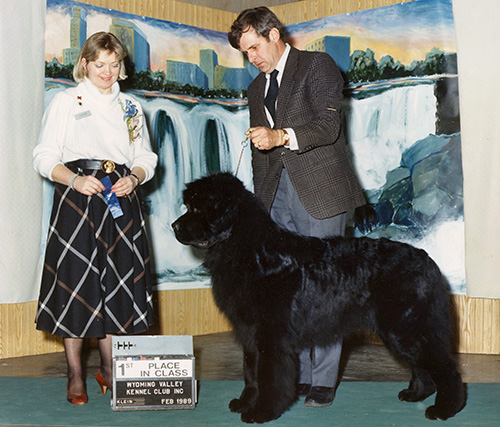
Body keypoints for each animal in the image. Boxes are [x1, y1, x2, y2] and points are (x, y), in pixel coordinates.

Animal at [174, 172, 466, 422]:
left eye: (198, 208)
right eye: (188, 206)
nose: (174, 225)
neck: (250, 250)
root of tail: (426, 258)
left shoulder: (271, 334)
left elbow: (268, 374)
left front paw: (262, 412)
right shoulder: (250, 332)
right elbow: (251, 371)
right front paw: (245, 402)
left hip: (406, 326)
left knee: (446, 368)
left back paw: (445, 409)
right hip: (399, 330)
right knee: (422, 365)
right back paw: (415, 394)